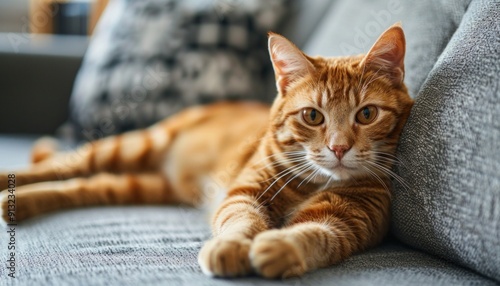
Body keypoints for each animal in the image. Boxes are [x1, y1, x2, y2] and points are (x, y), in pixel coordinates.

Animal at [0, 23, 414, 278]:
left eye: (367, 114)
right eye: (313, 116)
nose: (339, 147)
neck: (315, 181)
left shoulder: (349, 220)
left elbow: (316, 234)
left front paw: (279, 247)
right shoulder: (243, 193)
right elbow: (242, 220)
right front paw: (230, 247)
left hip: (137, 185)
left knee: (80, 186)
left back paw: (19, 201)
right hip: (133, 145)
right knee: (64, 164)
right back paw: (10, 181)